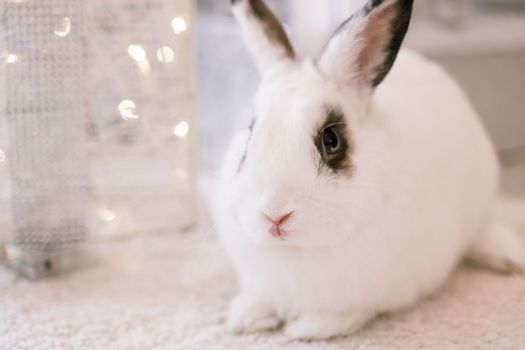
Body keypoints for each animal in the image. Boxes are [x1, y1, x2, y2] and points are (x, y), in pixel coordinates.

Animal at [211, 0, 520, 340]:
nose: (275, 214)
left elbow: (348, 312)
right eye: (250, 132)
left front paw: (309, 328)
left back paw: (511, 259)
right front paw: (245, 317)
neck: (296, 251)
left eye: (332, 140)